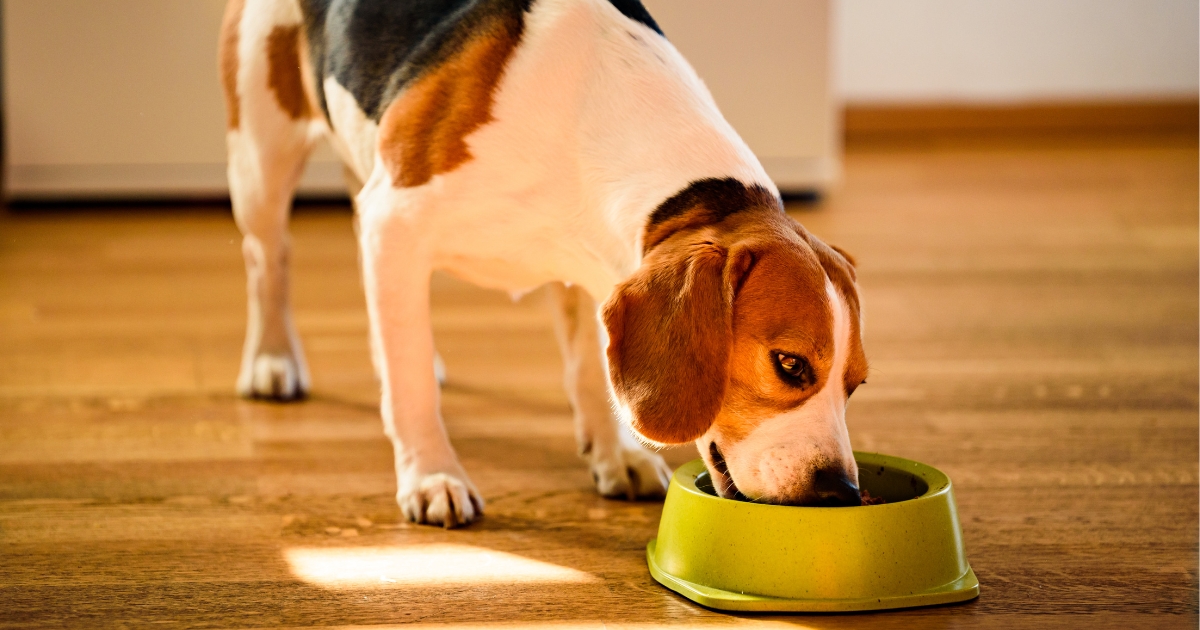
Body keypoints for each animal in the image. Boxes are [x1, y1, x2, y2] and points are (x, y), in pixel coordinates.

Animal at [220, 0, 868, 525]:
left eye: (856, 384)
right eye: (789, 364)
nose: (840, 492)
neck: (590, 116)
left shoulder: (594, 270)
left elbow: (589, 370)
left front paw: (614, 453)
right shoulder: (396, 220)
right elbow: (412, 389)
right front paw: (432, 474)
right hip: (261, 160)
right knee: (267, 259)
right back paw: (273, 360)